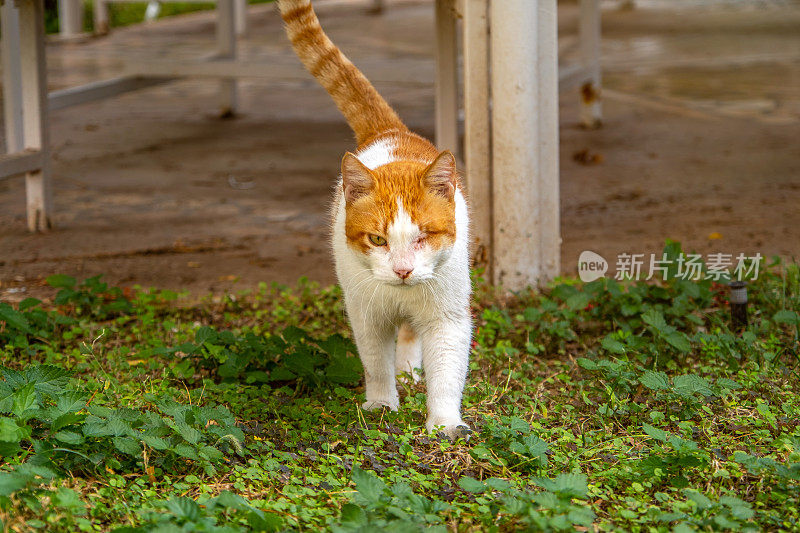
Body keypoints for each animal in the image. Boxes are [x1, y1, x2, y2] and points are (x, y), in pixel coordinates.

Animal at [278, 0, 472, 438]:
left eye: (424, 235)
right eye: (378, 240)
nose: (402, 270)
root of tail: (390, 132)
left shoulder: (447, 316)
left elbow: (446, 370)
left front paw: (443, 422)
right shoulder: (365, 314)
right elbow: (375, 362)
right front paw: (382, 403)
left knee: (411, 337)